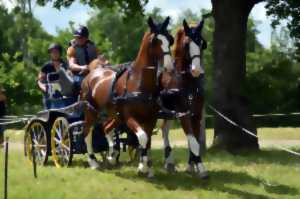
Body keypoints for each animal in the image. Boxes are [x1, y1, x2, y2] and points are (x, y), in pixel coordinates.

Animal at [80, 17, 173, 178]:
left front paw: (145, 167)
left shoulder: (151, 118)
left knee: (106, 128)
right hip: (91, 111)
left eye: (170, 39)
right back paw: (93, 162)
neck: (139, 82)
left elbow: (147, 140)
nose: (169, 67)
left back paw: (111, 155)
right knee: (87, 132)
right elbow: (142, 137)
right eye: (155, 41)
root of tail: (90, 74)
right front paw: (142, 167)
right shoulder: (130, 117)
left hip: (116, 115)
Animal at [161, 19, 207, 179]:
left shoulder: (196, 115)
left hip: (168, 114)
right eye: (187, 44)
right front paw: (201, 168)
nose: (196, 70)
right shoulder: (183, 114)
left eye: (202, 43)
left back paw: (169, 162)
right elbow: (193, 142)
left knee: (164, 130)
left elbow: (194, 141)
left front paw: (192, 165)